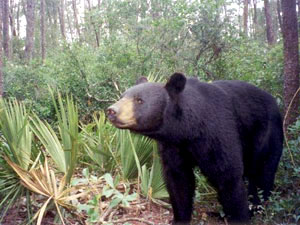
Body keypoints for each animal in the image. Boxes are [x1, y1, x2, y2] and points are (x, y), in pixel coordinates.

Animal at [106, 73, 284, 224]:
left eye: (139, 100)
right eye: (122, 96)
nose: (111, 111)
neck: (188, 130)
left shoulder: (219, 133)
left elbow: (229, 176)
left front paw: (239, 216)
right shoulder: (173, 146)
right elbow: (178, 180)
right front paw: (179, 219)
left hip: (266, 134)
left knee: (262, 174)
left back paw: (253, 208)